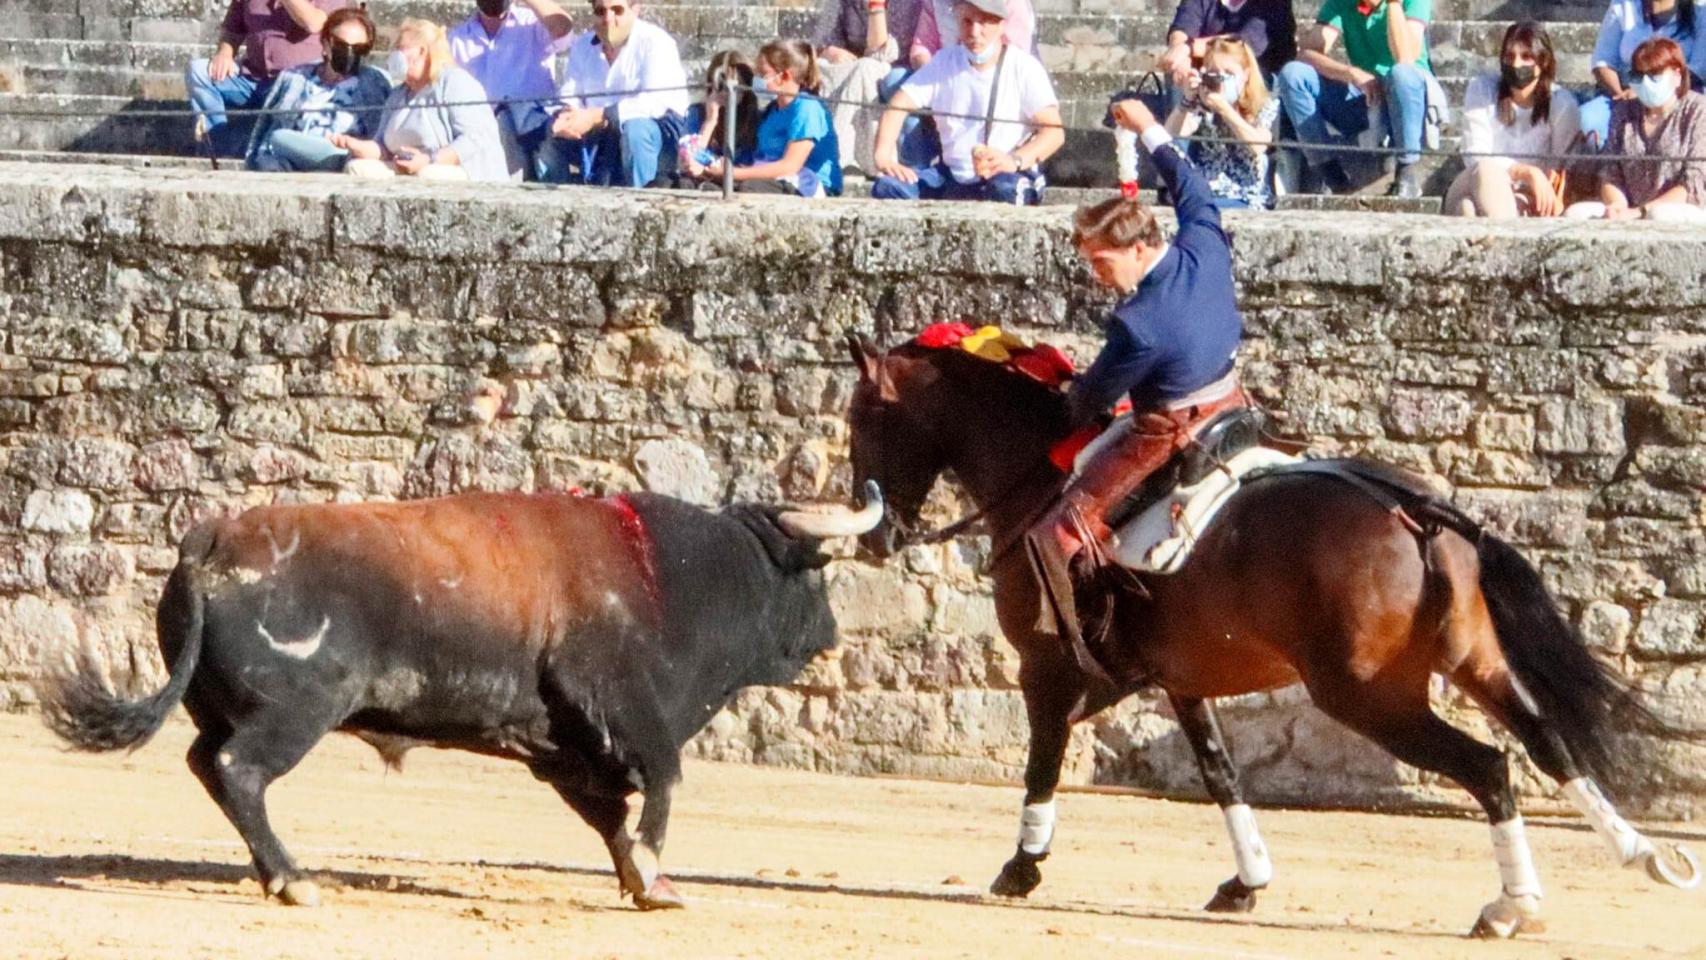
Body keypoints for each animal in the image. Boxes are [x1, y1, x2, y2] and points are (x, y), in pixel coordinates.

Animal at [38, 484, 880, 913]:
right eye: (819, 572)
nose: (834, 634)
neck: (672, 575)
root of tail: (211, 539)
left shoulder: (564, 746)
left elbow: (610, 814)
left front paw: (644, 880)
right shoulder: (622, 704)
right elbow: (665, 779)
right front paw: (655, 871)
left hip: (227, 710)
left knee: (206, 764)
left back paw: (276, 873)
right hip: (296, 713)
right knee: (239, 771)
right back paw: (295, 879)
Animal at [846, 335, 1699, 941]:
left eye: (862, 419)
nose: (877, 534)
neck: (1043, 479)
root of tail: (1414, 511)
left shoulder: (1047, 669)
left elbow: (1044, 761)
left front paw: (1022, 867)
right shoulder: (1178, 680)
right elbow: (1221, 774)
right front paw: (1247, 881)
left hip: (1370, 696)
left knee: (1489, 767)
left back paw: (1512, 904)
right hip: (1471, 662)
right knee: (1548, 740)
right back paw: (1643, 856)